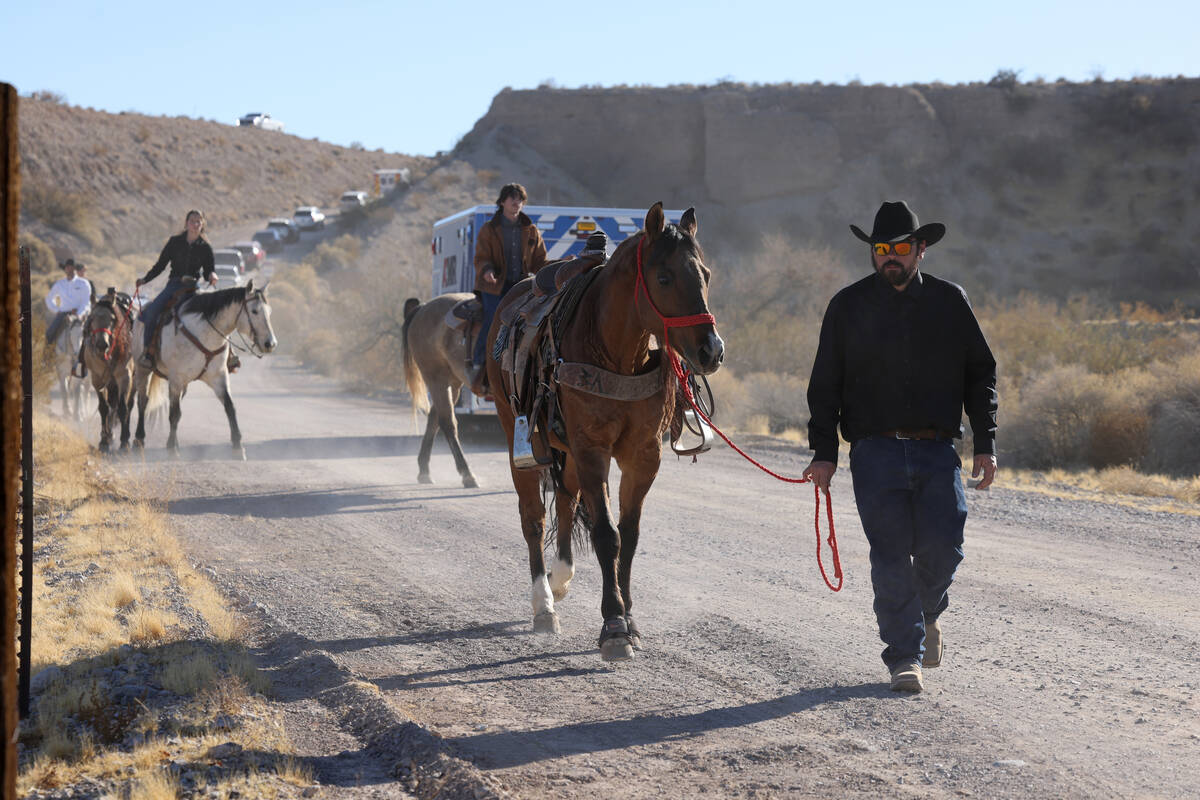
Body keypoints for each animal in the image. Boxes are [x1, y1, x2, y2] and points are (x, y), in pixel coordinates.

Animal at [133, 280, 276, 455]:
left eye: (269, 312)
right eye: (255, 311)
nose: (271, 344)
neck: (204, 333)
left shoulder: (218, 377)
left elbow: (230, 407)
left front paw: (238, 447)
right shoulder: (176, 379)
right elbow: (174, 414)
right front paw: (172, 450)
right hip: (143, 371)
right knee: (143, 402)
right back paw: (139, 439)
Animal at [400, 293, 480, 489]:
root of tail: (423, 308)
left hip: (453, 383)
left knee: (435, 417)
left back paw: (424, 470)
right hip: (436, 378)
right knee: (447, 422)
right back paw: (467, 474)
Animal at [484, 201, 720, 662]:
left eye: (705, 273)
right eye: (664, 277)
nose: (712, 350)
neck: (616, 354)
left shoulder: (643, 455)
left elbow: (628, 535)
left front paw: (629, 619)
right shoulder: (593, 448)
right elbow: (606, 535)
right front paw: (613, 627)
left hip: (569, 451)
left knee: (564, 500)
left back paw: (560, 578)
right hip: (519, 435)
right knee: (533, 518)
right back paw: (544, 605)